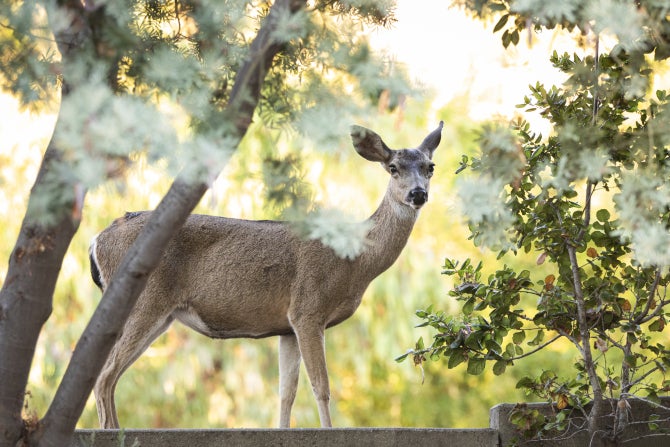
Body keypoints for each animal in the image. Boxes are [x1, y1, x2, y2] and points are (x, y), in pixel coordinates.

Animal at [89, 122, 443, 429]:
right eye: (393, 167)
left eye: (430, 167)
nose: (418, 194)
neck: (356, 262)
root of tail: (96, 240)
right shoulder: (308, 308)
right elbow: (321, 386)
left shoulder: (286, 326)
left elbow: (287, 393)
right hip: (144, 301)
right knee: (104, 375)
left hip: (160, 314)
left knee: (108, 375)